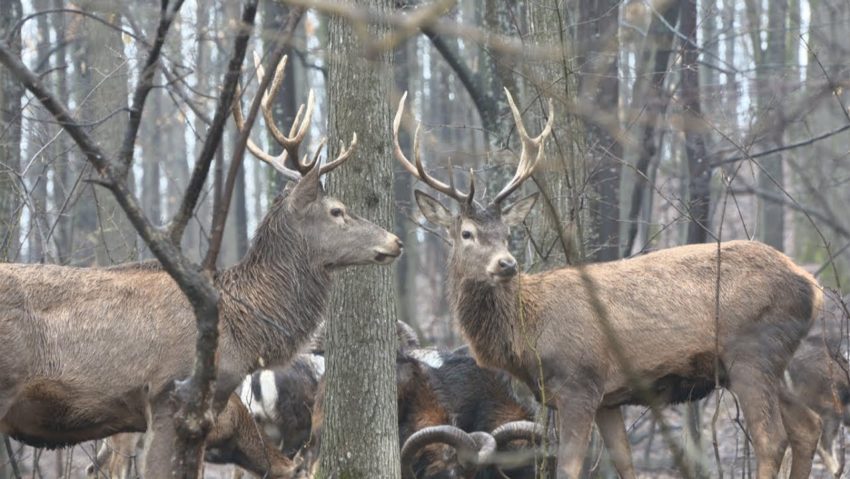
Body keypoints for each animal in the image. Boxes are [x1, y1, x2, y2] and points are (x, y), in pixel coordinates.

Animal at [394, 91, 824, 479]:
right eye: (466, 233)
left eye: (506, 233)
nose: (507, 264)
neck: (527, 334)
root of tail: (812, 288)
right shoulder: (608, 398)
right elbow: (625, 464)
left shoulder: (579, 382)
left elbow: (569, 468)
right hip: (771, 360)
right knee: (809, 425)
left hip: (751, 352)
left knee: (772, 440)